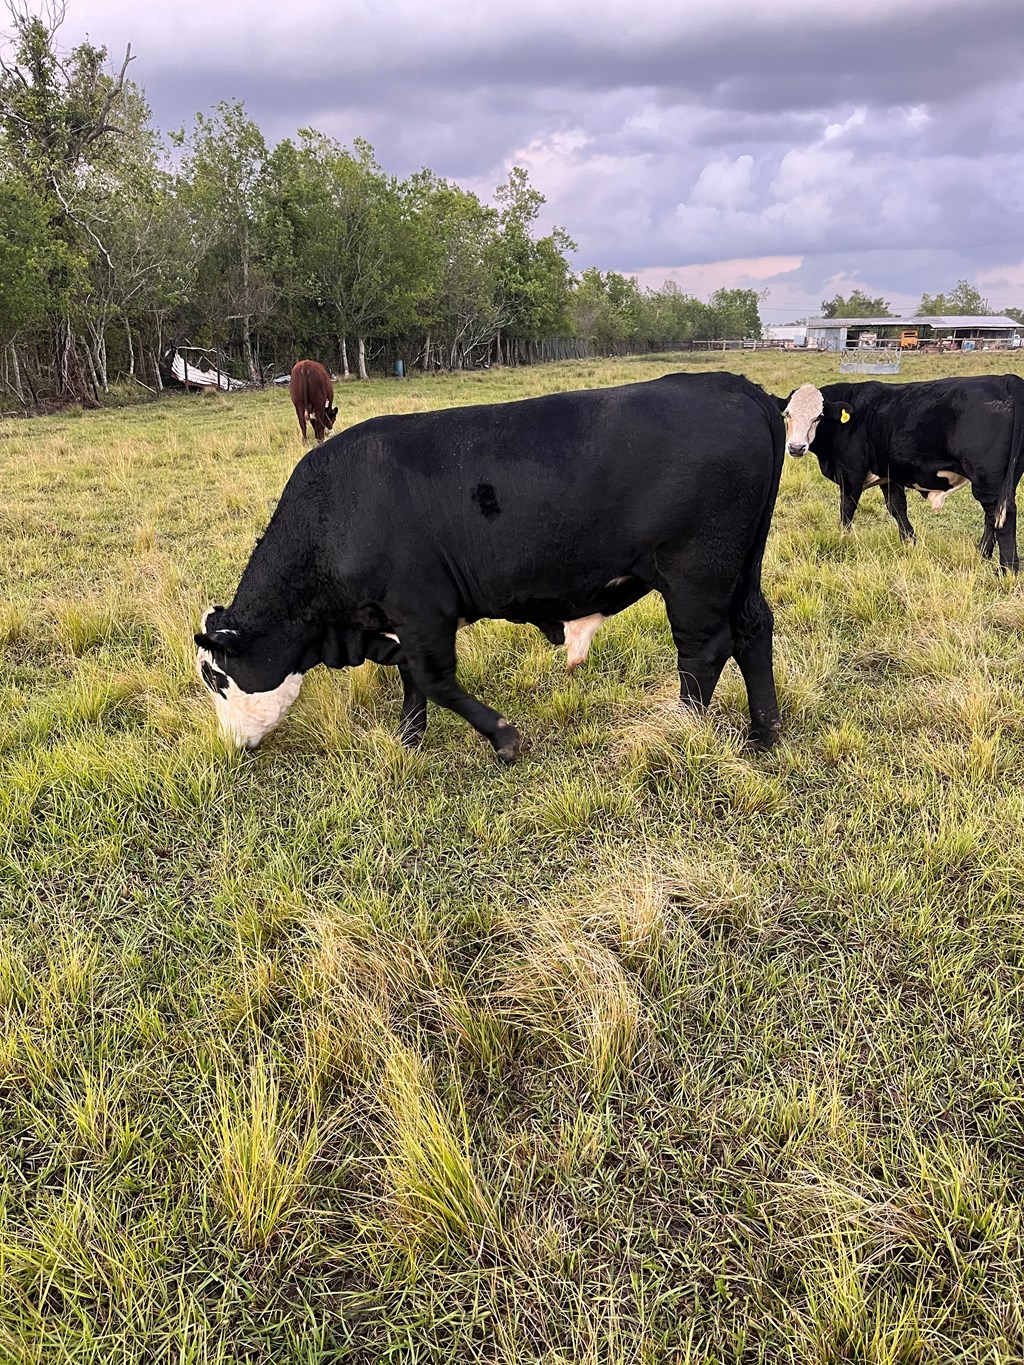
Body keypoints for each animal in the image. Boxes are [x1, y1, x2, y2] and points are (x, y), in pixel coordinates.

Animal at [196, 371, 786, 758]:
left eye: (218, 680)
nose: (233, 745)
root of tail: (733, 386)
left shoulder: (423, 608)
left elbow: (433, 679)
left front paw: (503, 738)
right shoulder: (398, 620)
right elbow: (411, 678)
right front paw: (408, 739)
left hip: (696, 575)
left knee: (703, 652)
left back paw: (681, 730)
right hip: (740, 571)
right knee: (754, 631)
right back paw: (763, 736)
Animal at [775, 376, 1024, 567]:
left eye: (819, 417)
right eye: (787, 414)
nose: (796, 447)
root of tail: (1007, 379)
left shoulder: (851, 474)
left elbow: (847, 509)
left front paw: (842, 539)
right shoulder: (888, 475)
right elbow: (897, 507)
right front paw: (909, 542)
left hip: (988, 480)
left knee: (1003, 515)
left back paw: (1006, 569)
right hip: (1003, 481)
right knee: (993, 516)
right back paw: (981, 554)